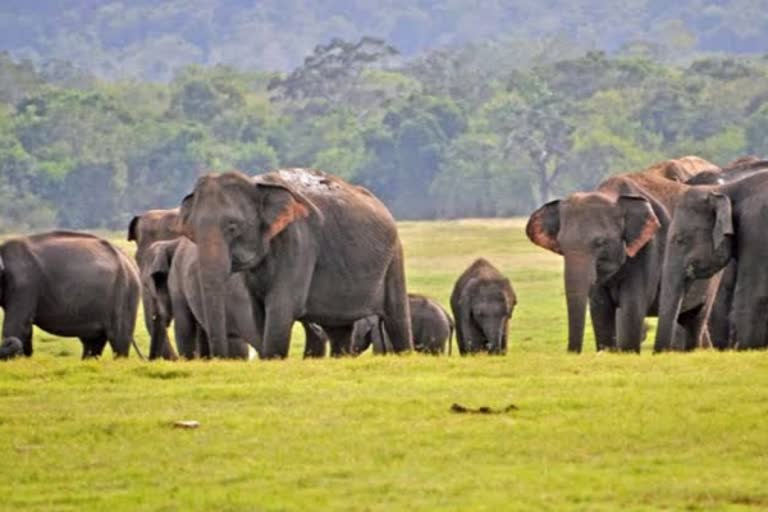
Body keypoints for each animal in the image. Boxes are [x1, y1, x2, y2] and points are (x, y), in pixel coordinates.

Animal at [0, 232, 142, 360]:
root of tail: (128, 260)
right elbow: (25, 328)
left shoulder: (24, 283)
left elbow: (17, 325)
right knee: (92, 343)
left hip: (125, 293)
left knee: (119, 341)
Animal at [178, 169, 414, 360]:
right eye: (192, 231)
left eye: (233, 227)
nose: (218, 358)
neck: (256, 183)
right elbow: (258, 313)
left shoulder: (299, 242)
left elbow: (281, 308)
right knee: (339, 331)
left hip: (394, 257)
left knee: (396, 319)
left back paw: (404, 354)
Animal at [524, 155, 724, 352]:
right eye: (562, 245)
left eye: (600, 242)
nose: (573, 352)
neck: (612, 194)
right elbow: (600, 309)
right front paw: (607, 351)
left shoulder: (648, 249)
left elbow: (631, 307)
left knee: (696, 318)